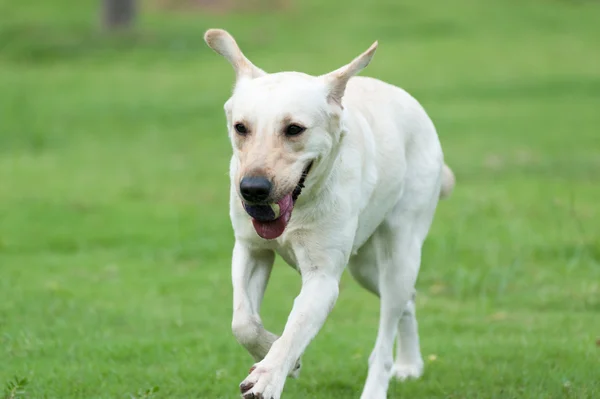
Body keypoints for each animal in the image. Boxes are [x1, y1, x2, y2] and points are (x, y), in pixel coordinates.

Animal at [204, 28, 452, 399]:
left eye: (294, 129)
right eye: (241, 127)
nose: (252, 189)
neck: (300, 208)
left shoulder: (322, 278)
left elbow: (295, 328)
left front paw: (269, 375)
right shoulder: (251, 249)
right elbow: (243, 322)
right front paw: (278, 355)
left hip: (400, 252)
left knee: (387, 330)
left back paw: (379, 385)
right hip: (364, 268)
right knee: (408, 299)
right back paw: (410, 364)